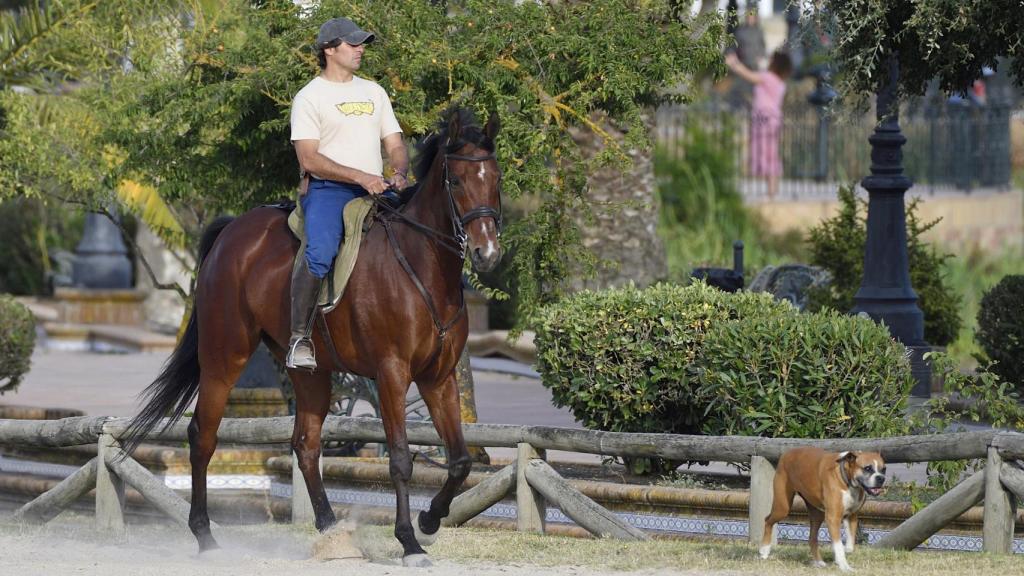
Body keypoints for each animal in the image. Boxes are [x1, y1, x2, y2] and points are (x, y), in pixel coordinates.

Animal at [122, 106, 503, 567]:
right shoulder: (392, 374)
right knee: (203, 436)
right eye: (457, 181)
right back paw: (205, 535)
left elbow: (460, 459)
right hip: (225, 356)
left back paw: (331, 530)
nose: (487, 253)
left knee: (305, 444)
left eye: (496, 179)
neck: (421, 263)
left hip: (311, 371)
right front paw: (409, 541)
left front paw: (430, 521)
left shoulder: (439, 377)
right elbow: (399, 459)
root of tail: (232, 231)